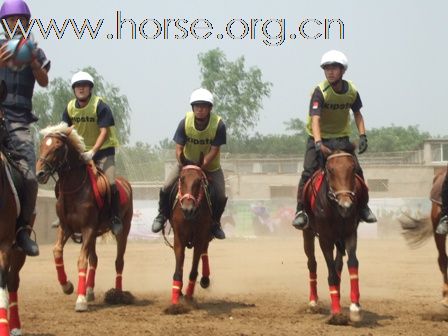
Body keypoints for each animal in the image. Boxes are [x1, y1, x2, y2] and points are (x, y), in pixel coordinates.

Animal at [35, 123, 133, 312]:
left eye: (57, 148)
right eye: (42, 145)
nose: (40, 174)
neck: (75, 189)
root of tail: (125, 183)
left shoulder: (88, 229)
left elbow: (82, 261)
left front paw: (80, 300)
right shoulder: (66, 228)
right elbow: (57, 251)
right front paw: (67, 286)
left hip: (122, 231)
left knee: (119, 261)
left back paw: (117, 294)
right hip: (94, 234)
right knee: (94, 259)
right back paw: (89, 290)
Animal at [165, 155, 213, 312]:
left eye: (199, 181)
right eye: (181, 178)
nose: (188, 209)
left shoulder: (200, 237)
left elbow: (193, 270)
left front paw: (188, 296)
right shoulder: (179, 238)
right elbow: (178, 270)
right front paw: (175, 301)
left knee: (205, 251)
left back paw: (205, 279)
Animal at [300, 151, 368, 324]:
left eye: (353, 169)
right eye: (330, 170)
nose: (346, 206)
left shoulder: (350, 233)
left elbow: (352, 263)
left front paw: (355, 307)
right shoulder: (325, 239)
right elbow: (331, 274)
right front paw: (336, 313)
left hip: (340, 239)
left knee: (339, 265)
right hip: (308, 233)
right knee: (312, 263)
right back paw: (313, 301)